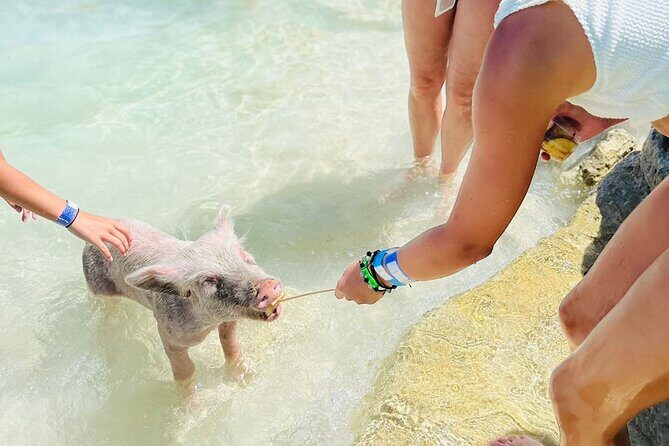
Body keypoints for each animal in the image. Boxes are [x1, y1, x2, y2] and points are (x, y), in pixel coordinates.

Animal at [82, 205, 282, 391]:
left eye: (242, 254)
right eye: (209, 280)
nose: (268, 286)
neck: (209, 324)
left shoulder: (229, 321)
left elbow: (231, 345)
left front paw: (245, 378)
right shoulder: (167, 334)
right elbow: (186, 371)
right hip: (97, 286)